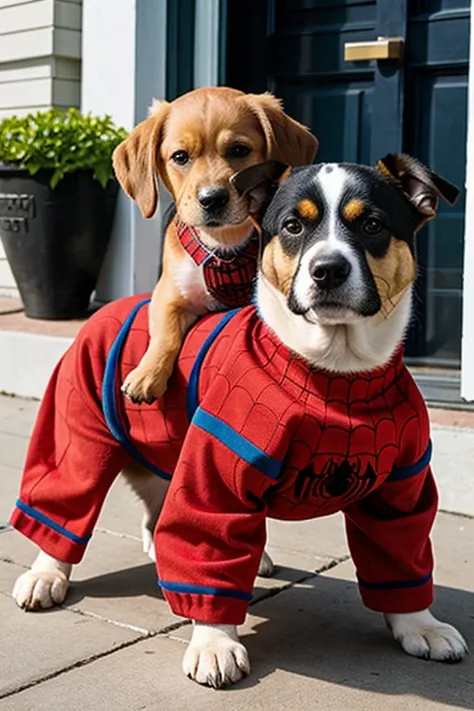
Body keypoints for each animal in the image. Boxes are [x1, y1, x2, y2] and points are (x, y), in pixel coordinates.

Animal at [112, 86, 316, 404]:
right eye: (180, 156)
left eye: (240, 150)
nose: (212, 199)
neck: (224, 246)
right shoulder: (168, 294)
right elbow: (165, 333)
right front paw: (148, 373)